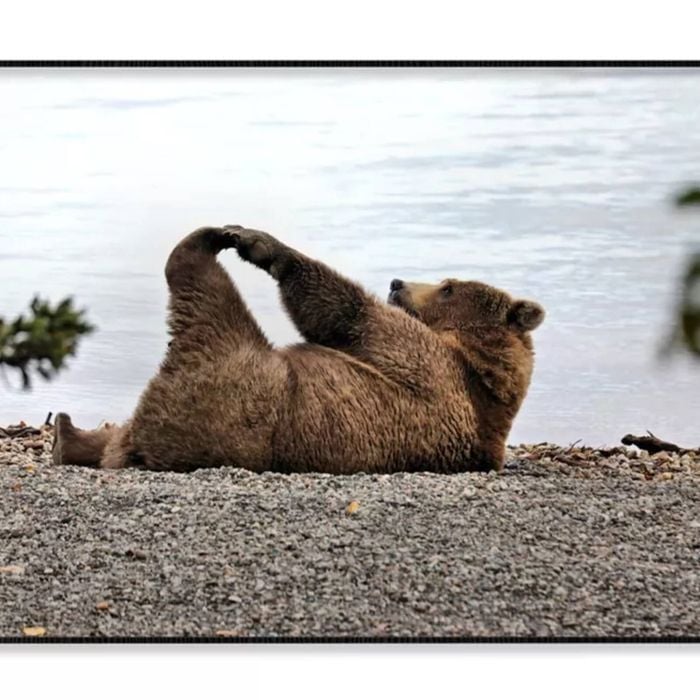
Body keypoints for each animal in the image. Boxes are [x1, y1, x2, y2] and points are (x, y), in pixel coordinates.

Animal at [52, 225, 544, 474]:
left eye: (447, 287)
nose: (397, 282)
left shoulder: (431, 367)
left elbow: (350, 315)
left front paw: (261, 244)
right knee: (114, 433)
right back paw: (67, 434)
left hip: (230, 381)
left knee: (204, 295)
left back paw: (206, 240)